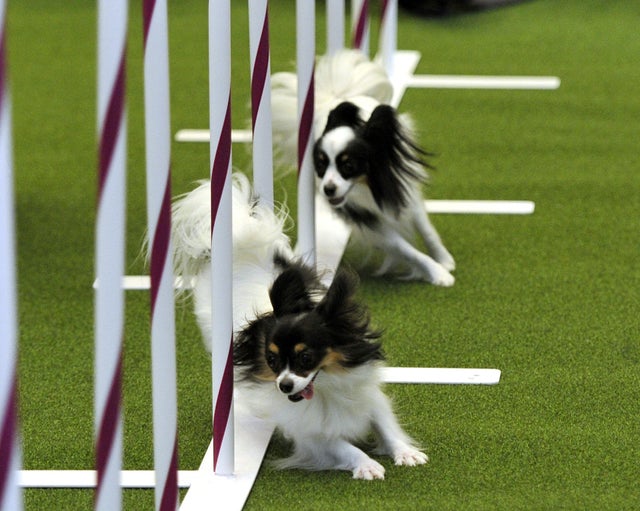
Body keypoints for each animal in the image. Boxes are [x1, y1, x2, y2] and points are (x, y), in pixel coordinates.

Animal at [172, 175, 428, 480]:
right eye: (271, 361)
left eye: (306, 358)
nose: (284, 385)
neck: (327, 385)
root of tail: (245, 253)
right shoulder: (310, 434)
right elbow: (342, 446)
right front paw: (366, 464)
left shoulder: (367, 394)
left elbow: (385, 423)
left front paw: (405, 451)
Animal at [270, 49, 456, 286]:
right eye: (320, 165)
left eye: (348, 166)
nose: (328, 190)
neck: (369, 187)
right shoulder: (366, 219)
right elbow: (405, 248)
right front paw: (437, 272)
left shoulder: (407, 193)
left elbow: (427, 230)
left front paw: (444, 260)